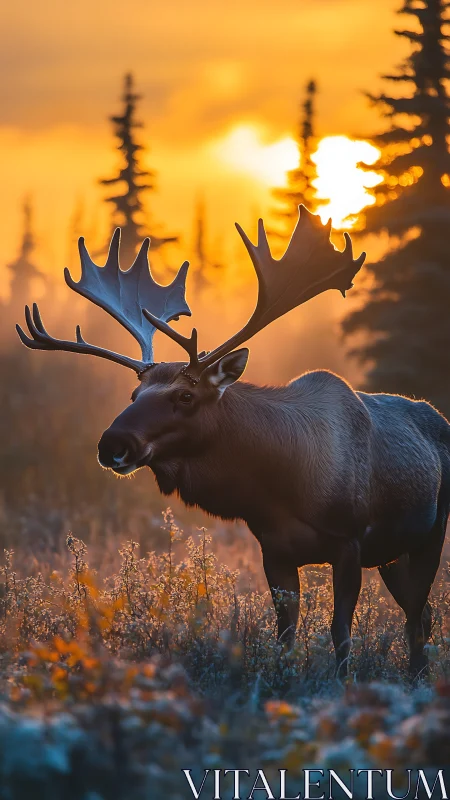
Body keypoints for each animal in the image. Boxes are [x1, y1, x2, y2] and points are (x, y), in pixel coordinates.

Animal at [17, 206, 450, 679]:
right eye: (133, 395)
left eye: (185, 396)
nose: (112, 443)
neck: (281, 488)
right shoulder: (274, 550)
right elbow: (285, 633)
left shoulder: (349, 541)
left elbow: (341, 632)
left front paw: (342, 682)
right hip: (394, 553)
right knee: (422, 613)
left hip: (430, 533)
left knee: (417, 616)